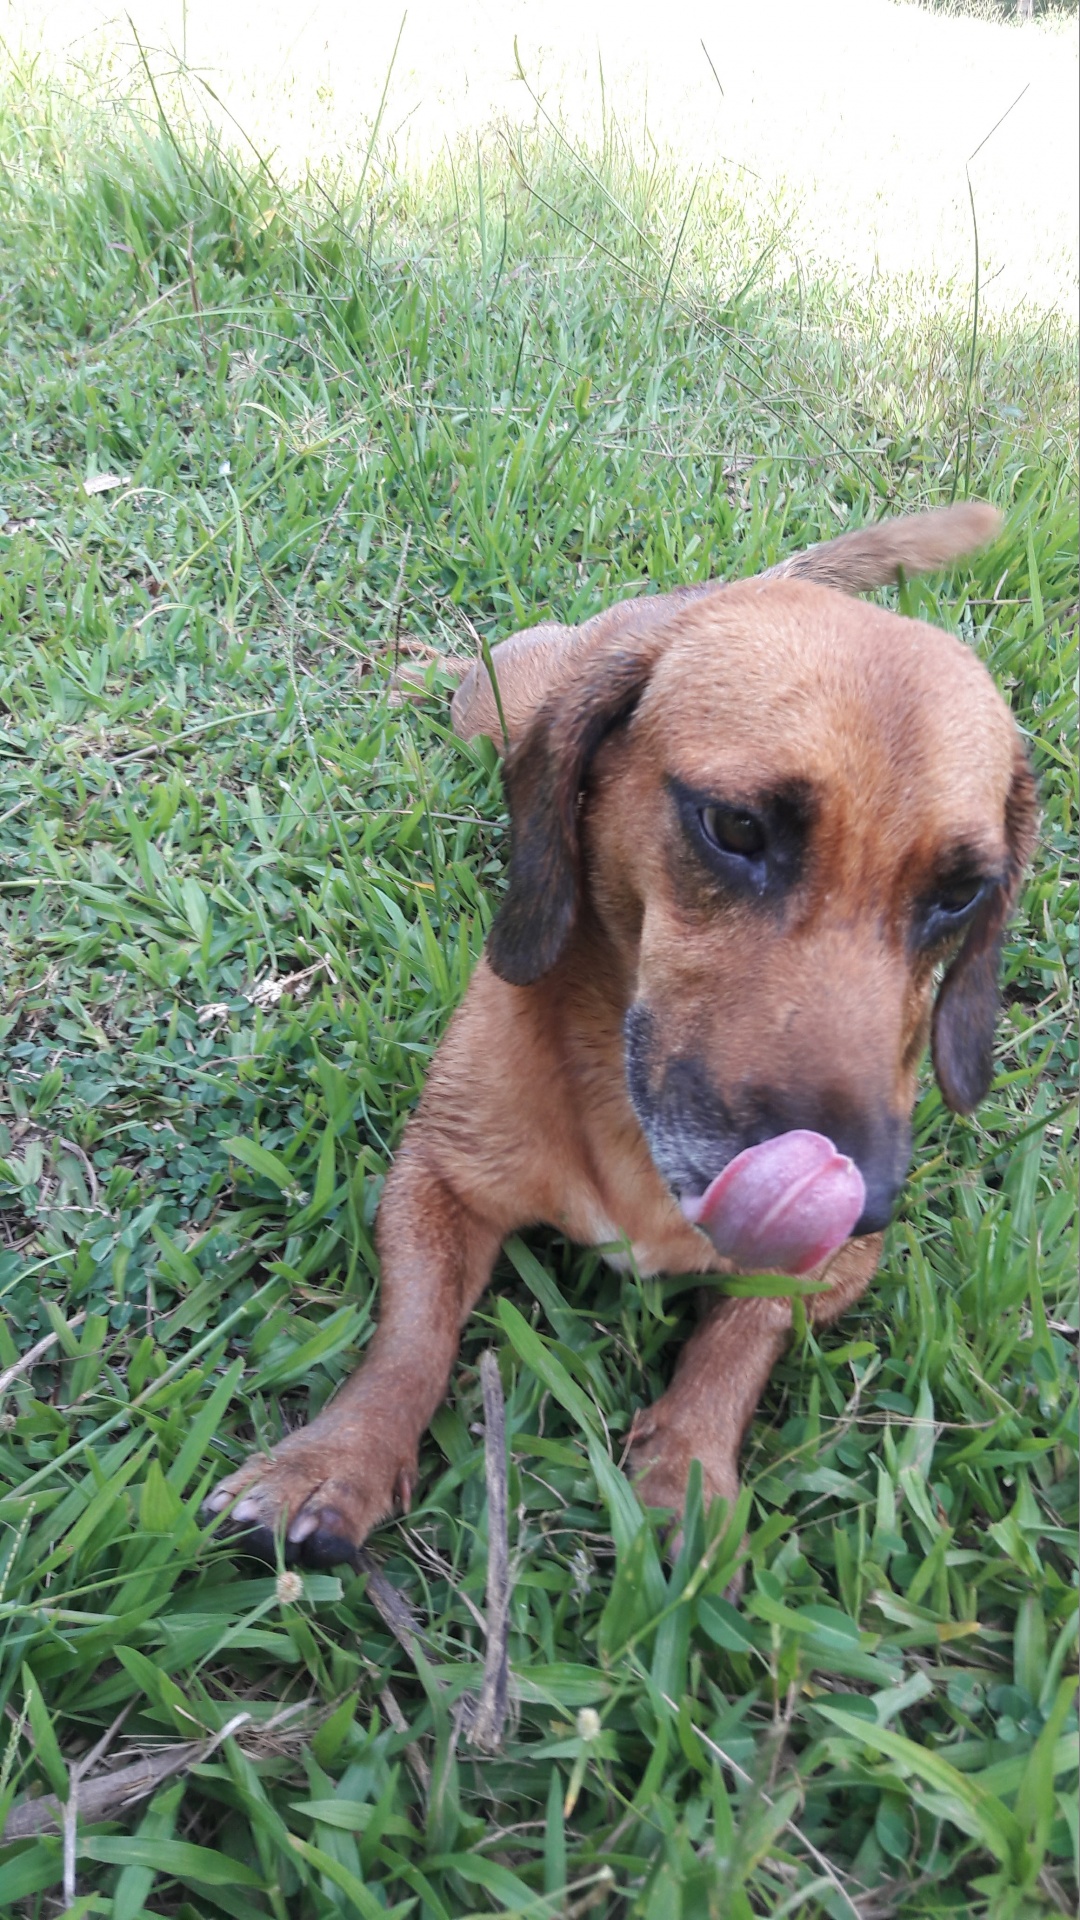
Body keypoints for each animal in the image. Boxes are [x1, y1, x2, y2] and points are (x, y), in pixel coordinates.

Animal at [203, 503, 1037, 1566]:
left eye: (962, 894)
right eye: (735, 826)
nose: (865, 1196)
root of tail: (709, 594)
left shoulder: (837, 1271)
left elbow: (736, 1344)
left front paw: (687, 1471)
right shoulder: (435, 1180)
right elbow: (410, 1338)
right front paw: (340, 1456)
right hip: (499, 703)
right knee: (472, 675)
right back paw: (418, 666)